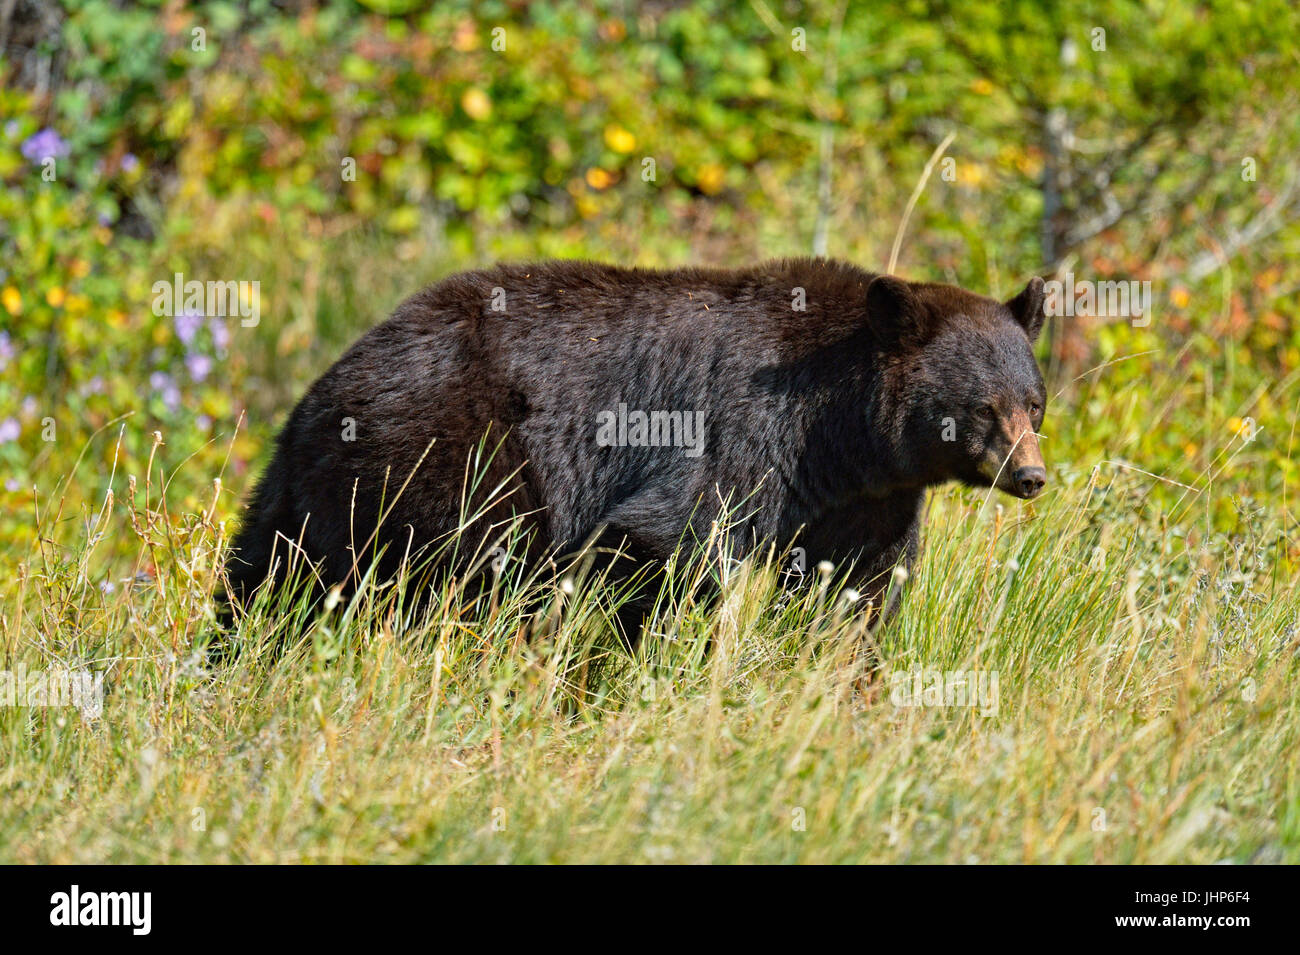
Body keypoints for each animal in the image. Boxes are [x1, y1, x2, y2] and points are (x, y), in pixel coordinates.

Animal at [220, 261, 1045, 631]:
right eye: (984, 406)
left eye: (1035, 403)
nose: (1032, 474)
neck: (837, 430)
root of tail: (324, 387)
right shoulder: (744, 436)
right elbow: (666, 539)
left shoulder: (868, 496)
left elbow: (854, 585)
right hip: (454, 453)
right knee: (470, 563)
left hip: (308, 488)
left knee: (269, 568)